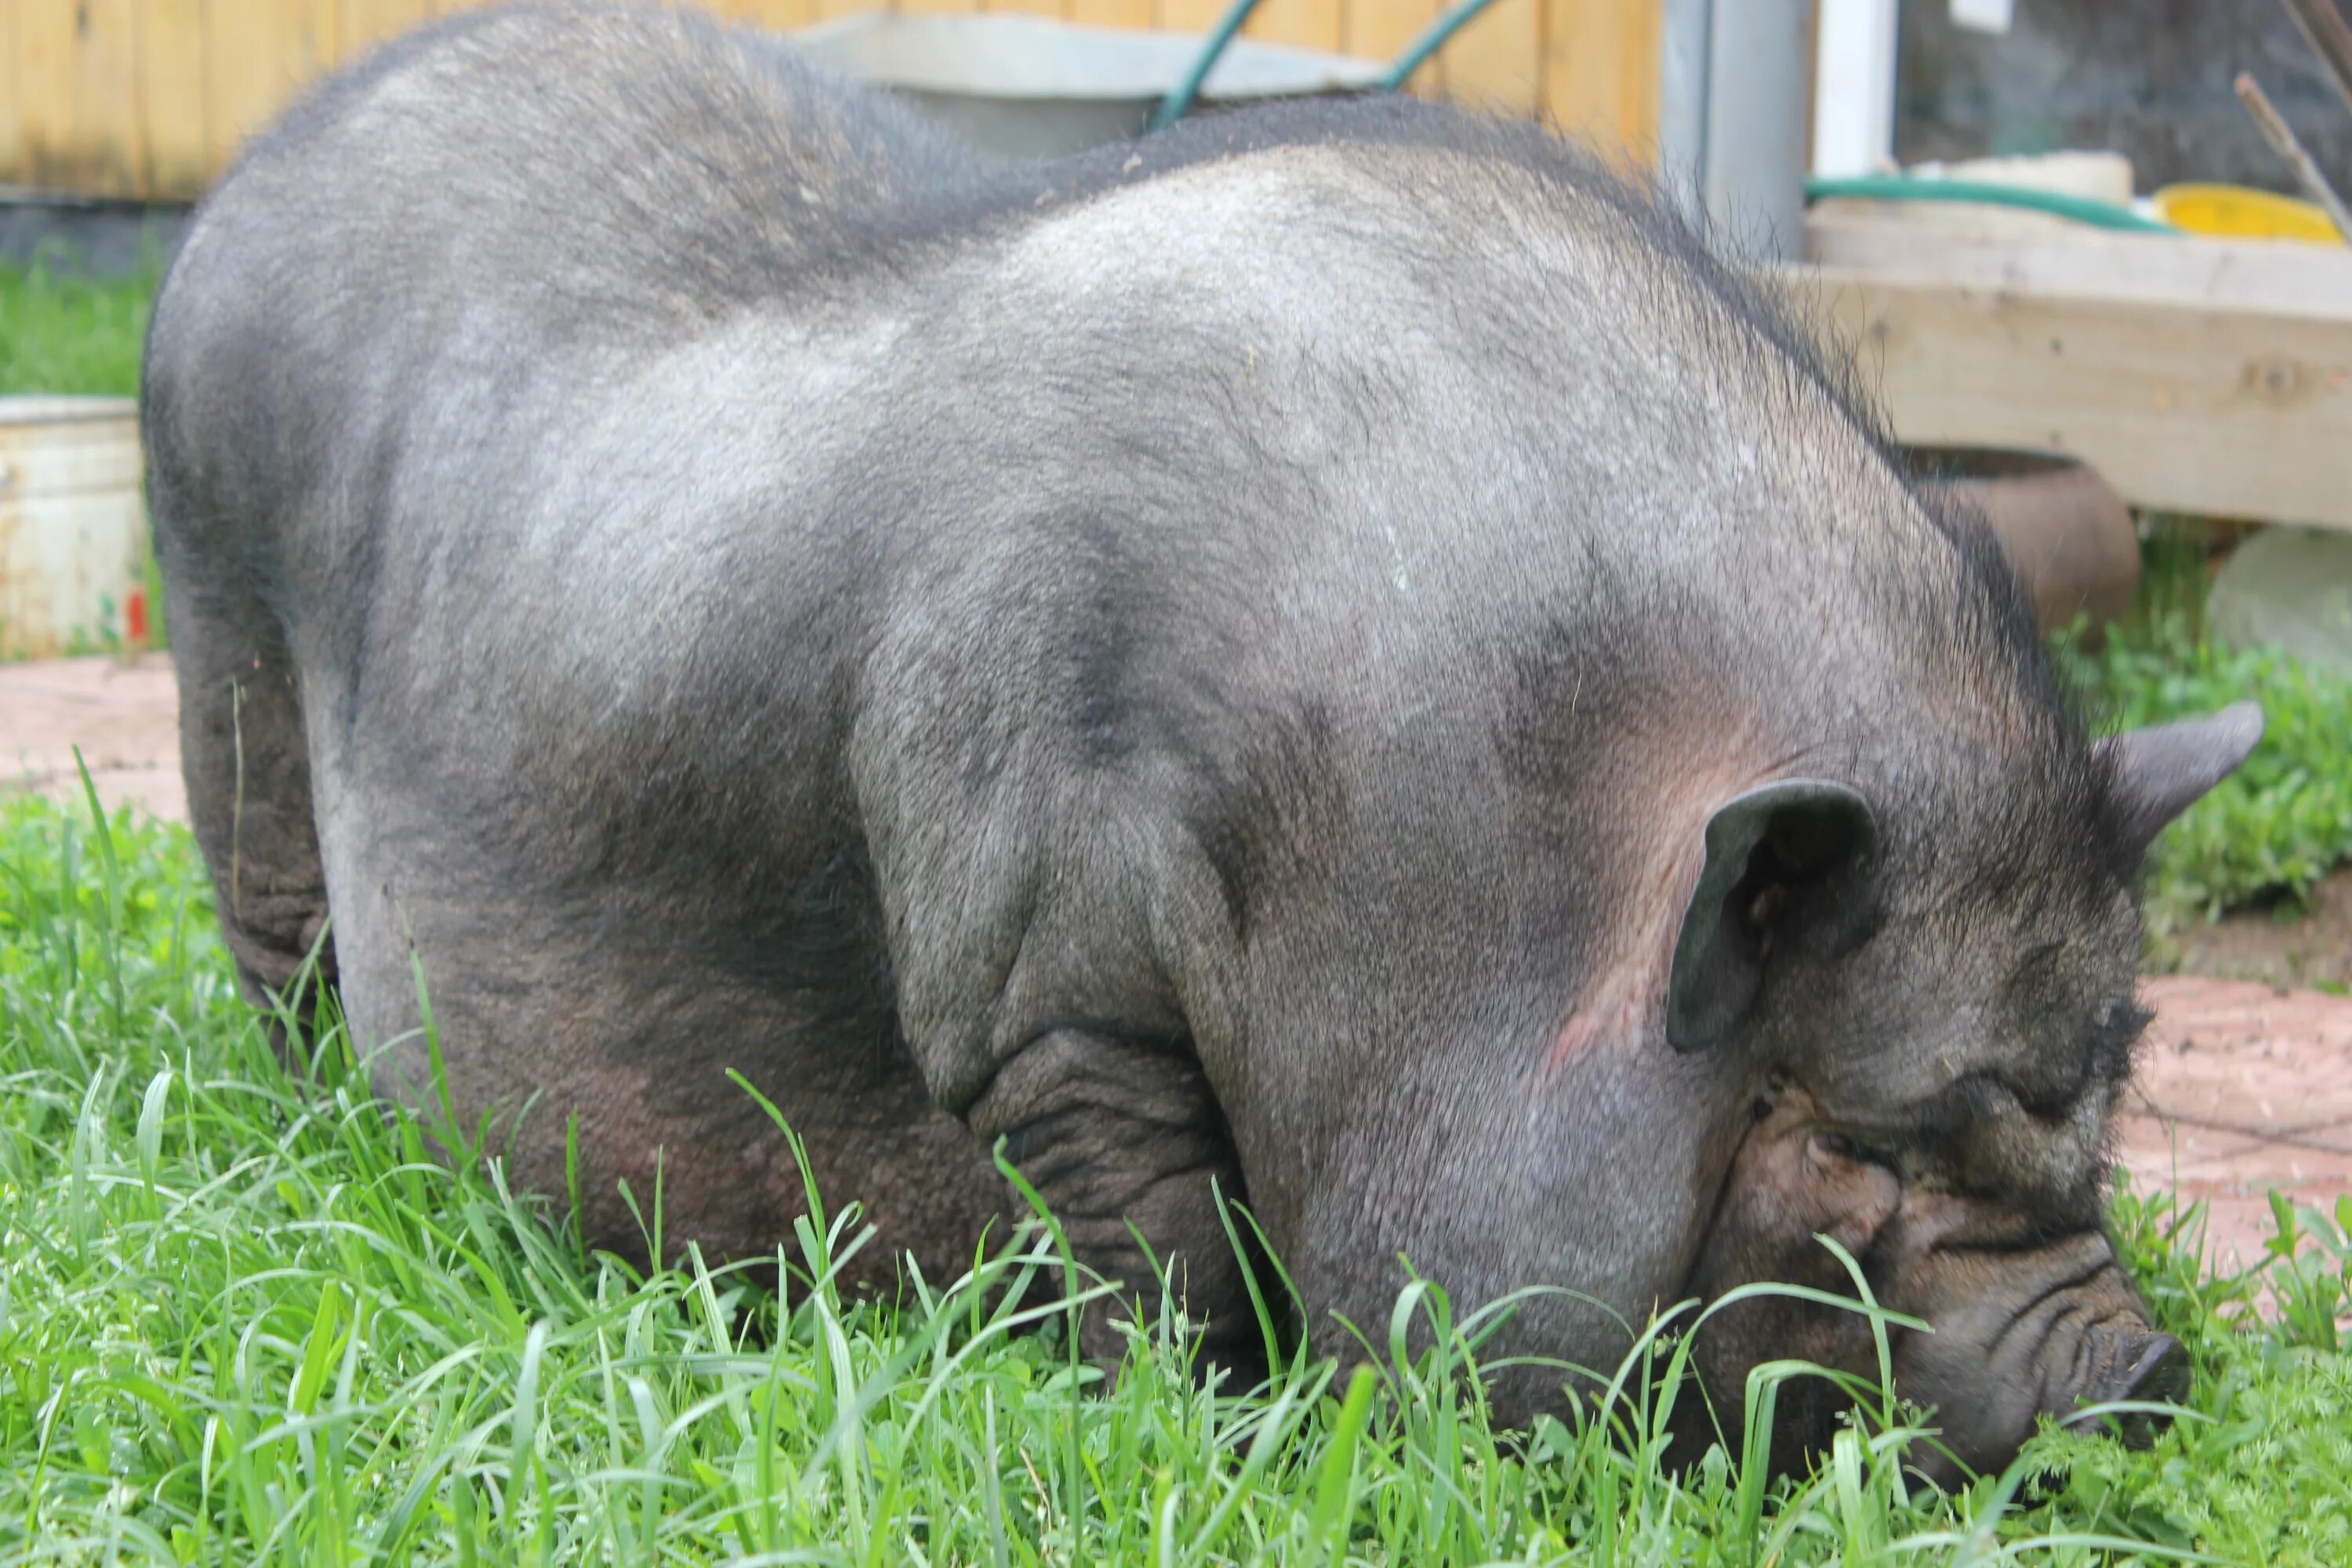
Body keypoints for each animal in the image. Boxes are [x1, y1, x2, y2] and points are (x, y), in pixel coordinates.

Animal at [142, 0, 2258, 1486]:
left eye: (2099, 1099)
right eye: (1853, 1137)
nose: (2146, 1364)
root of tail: (255, 168)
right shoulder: (1036, 989)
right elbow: (1155, 1245)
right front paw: (1203, 1435)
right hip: (223, 656)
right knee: (277, 948)